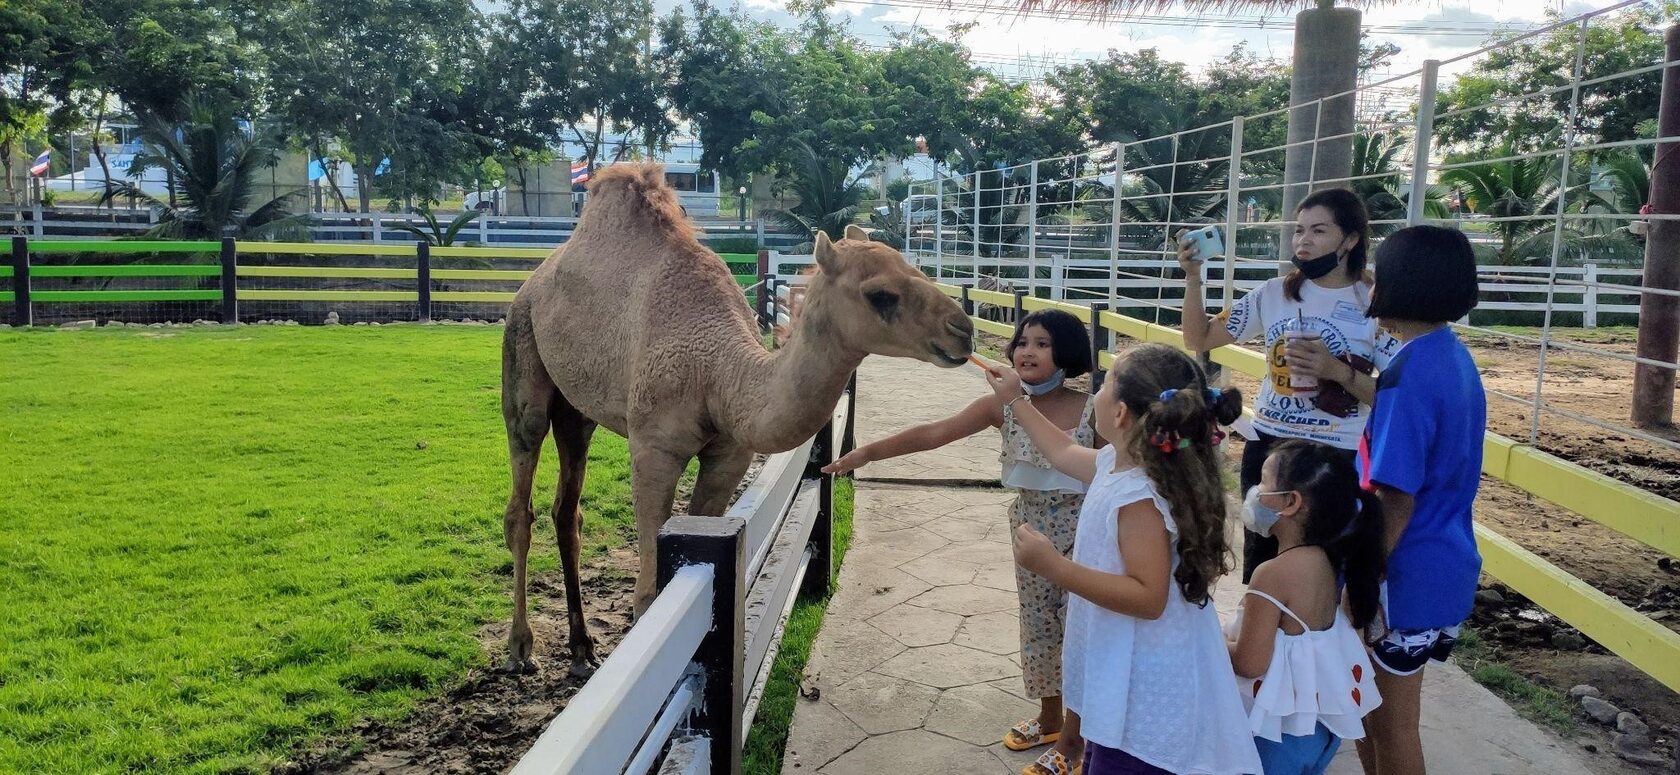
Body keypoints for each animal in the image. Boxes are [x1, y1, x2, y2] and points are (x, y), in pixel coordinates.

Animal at [497, 161, 974, 669]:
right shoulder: (653, 447)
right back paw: (521, 647)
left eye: (915, 266)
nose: (963, 330)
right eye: (880, 294)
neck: (718, 372)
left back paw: (582, 645)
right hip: (522, 353)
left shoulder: (729, 454)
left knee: (568, 508)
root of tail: (533, 279)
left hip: (577, 409)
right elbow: (648, 594)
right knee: (522, 493)